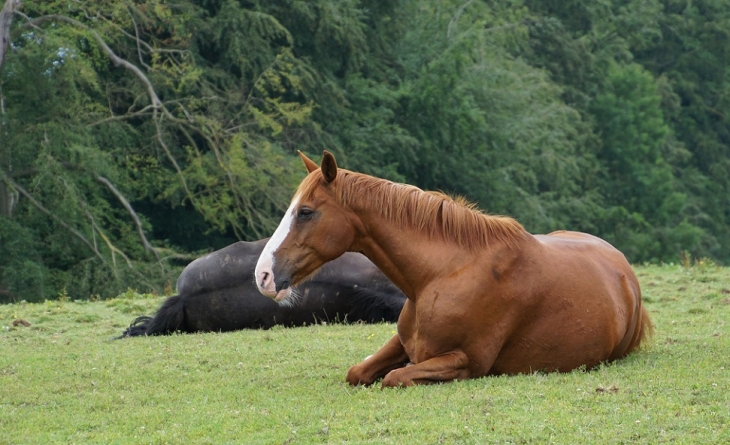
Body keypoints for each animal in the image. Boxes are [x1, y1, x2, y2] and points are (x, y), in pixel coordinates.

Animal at [252, 151, 648, 386]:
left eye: (306, 212)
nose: (263, 275)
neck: (441, 275)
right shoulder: (403, 342)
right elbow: (358, 371)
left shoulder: (467, 362)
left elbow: (394, 377)